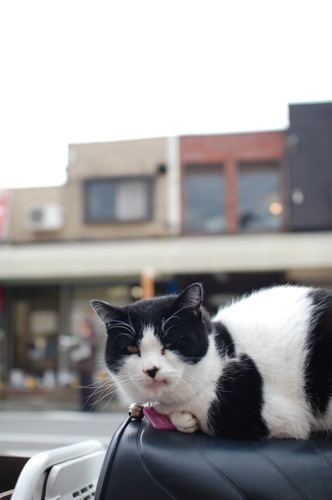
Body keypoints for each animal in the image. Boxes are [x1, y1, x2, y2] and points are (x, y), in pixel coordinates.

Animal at [91, 284, 332, 440]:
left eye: (171, 343)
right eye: (132, 349)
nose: (151, 369)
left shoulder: (264, 413)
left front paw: (179, 416)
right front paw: (181, 419)